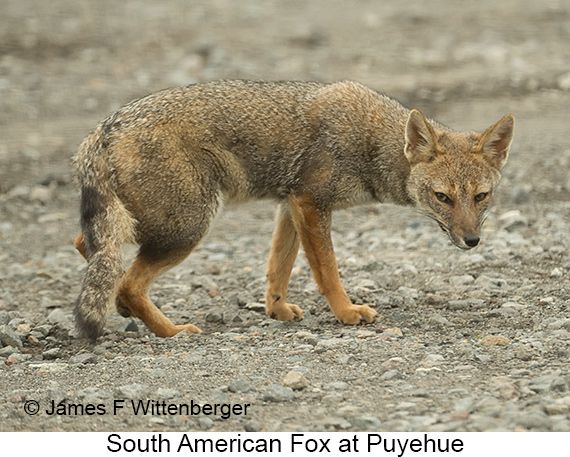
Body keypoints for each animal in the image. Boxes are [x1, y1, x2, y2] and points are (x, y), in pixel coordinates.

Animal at [71, 80, 516, 340]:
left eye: (481, 197)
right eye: (443, 197)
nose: (472, 240)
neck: (370, 140)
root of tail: (103, 127)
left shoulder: (290, 203)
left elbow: (278, 267)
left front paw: (277, 309)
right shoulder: (312, 203)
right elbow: (327, 270)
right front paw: (346, 312)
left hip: (149, 224)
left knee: (91, 249)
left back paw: (122, 306)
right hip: (186, 228)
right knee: (129, 279)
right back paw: (171, 330)